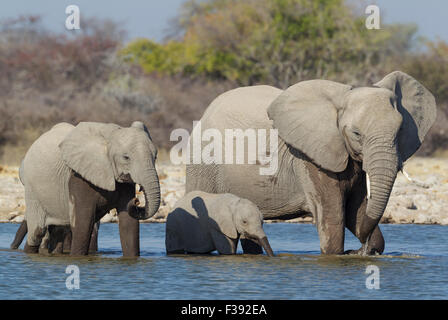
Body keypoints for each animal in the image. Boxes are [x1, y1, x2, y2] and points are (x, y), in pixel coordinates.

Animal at [21, 120, 161, 258]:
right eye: (126, 157)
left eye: (155, 157)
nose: (136, 201)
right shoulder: (78, 175)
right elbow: (84, 224)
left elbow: (129, 224)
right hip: (32, 190)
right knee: (37, 232)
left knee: (58, 231)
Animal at [185, 72, 434, 255]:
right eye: (356, 134)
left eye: (399, 131)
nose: (361, 249)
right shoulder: (308, 158)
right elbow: (335, 218)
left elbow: (355, 209)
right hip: (203, 163)